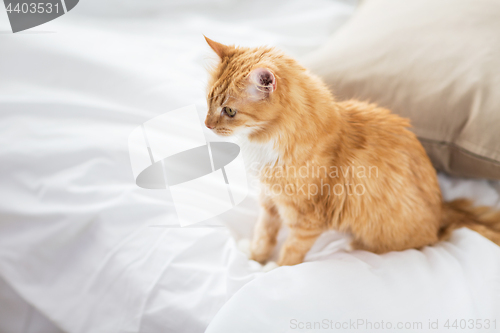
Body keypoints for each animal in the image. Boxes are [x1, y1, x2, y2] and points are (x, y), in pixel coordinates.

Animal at [202, 35, 500, 264]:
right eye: (208, 102)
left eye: (229, 111)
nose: (206, 125)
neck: (264, 142)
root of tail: (442, 207)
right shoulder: (269, 202)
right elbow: (263, 235)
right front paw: (255, 259)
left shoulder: (307, 219)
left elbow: (290, 254)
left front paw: (272, 271)